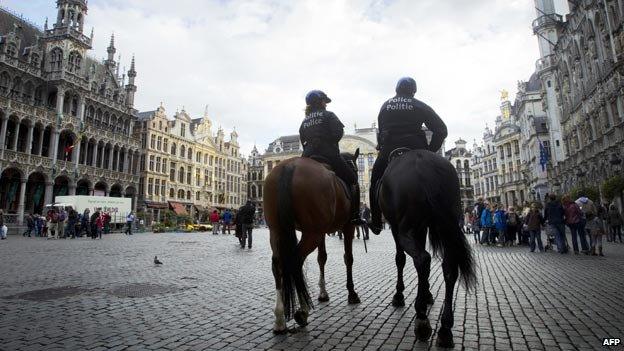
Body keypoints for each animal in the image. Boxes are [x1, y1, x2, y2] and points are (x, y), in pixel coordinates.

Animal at [264, 153, 360, 334]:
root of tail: (290, 165)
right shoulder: (348, 227)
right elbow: (348, 258)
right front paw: (352, 293)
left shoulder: (322, 232)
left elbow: (322, 258)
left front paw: (323, 293)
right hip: (312, 233)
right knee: (296, 261)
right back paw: (302, 311)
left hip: (277, 230)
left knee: (278, 264)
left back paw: (280, 319)